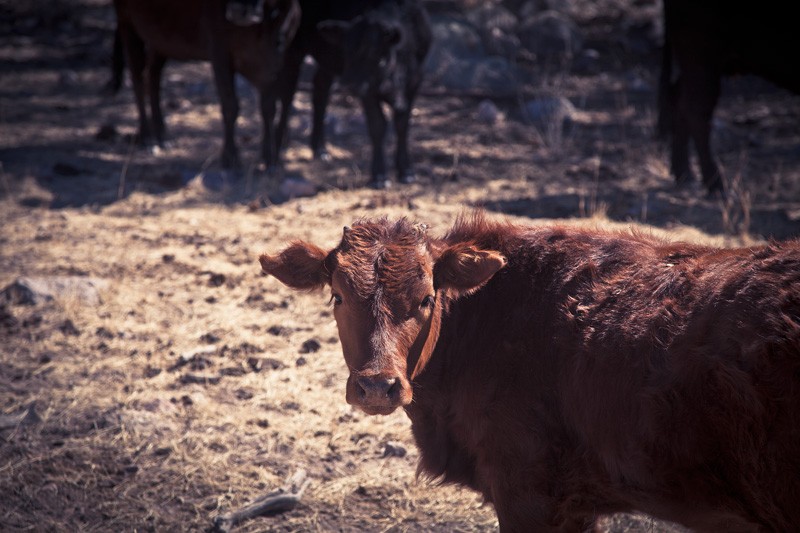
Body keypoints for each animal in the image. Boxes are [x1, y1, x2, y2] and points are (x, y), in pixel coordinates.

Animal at [111, 0, 300, 169]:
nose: (240, 10)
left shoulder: (275, 61)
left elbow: (269, 108)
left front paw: (271, 157)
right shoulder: (219, 51)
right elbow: (230, 105)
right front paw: (230, 157)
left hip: (160, 39)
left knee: (153, 75)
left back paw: (162, 135)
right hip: (127, 22)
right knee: (137, 77)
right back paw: (147, 136)